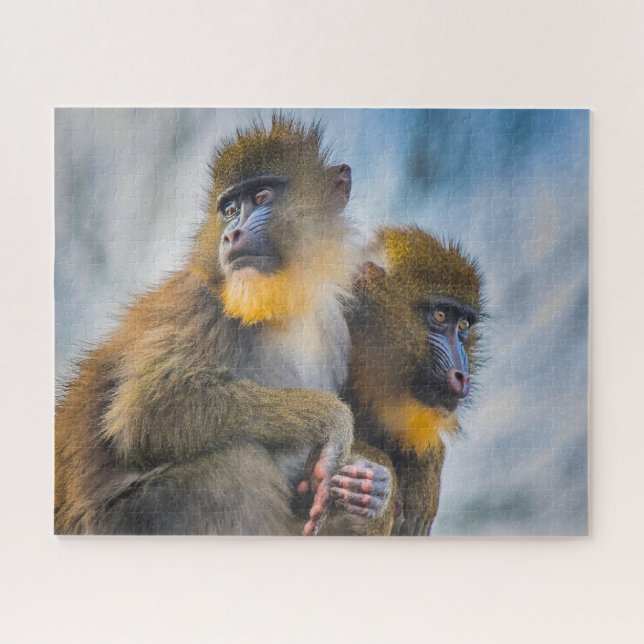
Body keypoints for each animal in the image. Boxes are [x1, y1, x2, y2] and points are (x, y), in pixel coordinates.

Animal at [55, 115, 392, 536]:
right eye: (230, 209)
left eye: (262, 197)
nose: (232, 233)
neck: (286, 304)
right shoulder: (204, 308)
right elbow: (148, 411)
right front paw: (331, 419)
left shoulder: (333, 325)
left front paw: (370, 486)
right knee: (237, 465)